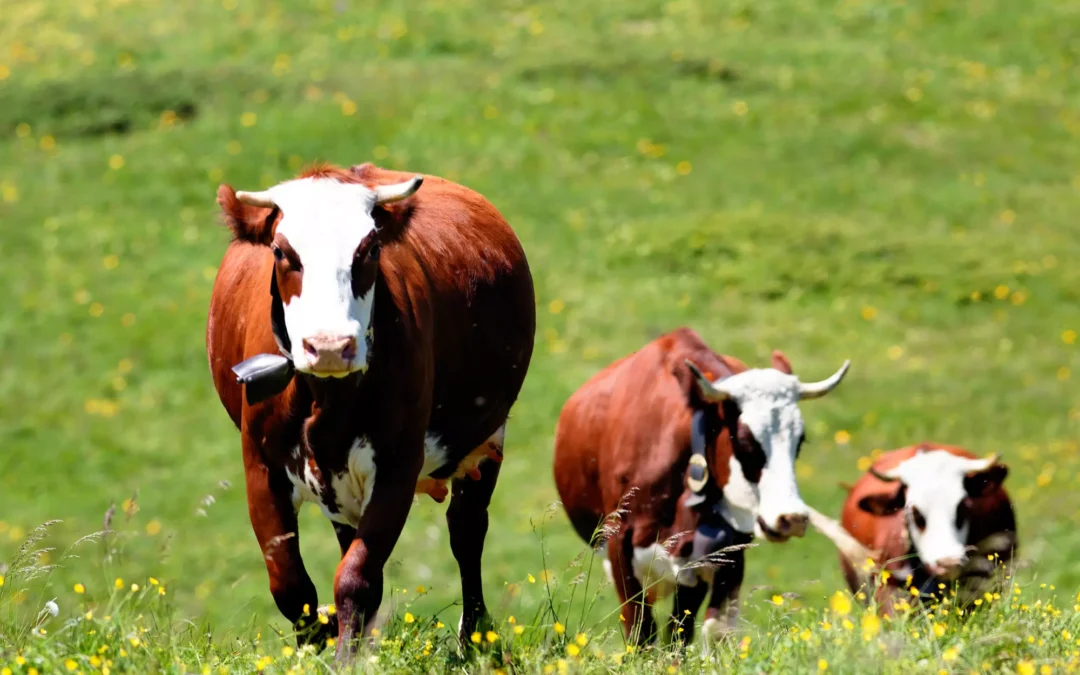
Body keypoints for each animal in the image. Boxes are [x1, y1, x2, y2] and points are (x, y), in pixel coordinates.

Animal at [205, 163, 535, 656]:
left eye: (371, 248)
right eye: (282, 252)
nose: (329, 346)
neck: (328, 399)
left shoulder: (398, 463)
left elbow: (357, 577)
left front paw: (346, 656)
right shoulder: (260, 467)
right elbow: (292, 586)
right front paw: (316, 645)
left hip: (485, 440)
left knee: (466, 530)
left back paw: (474, 635)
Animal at [552, 326, 846, 643]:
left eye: (799, 441)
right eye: (744, 440)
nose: (792, 518)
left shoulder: (711, 555)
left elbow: (686, 632)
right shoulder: (619, 545)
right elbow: (641, 630)